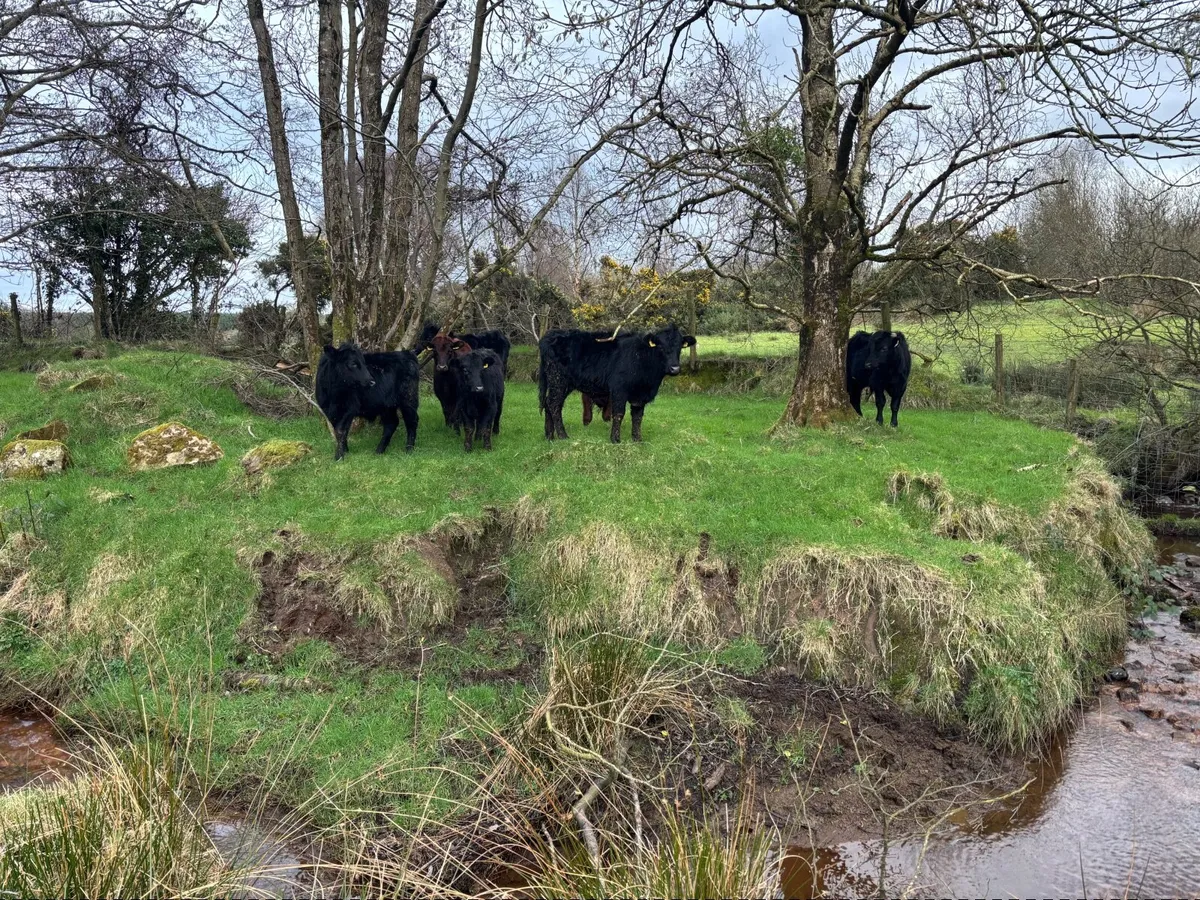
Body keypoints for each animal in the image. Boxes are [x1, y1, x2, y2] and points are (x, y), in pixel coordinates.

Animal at [538, 324, 695, 443]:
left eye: (680, 347)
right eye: (661, 347)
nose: (675, 368)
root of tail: (551, 334)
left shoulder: (640, 395)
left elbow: (637, 417)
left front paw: (637, 439)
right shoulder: (619, 389)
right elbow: (619, 413)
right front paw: (615, 440)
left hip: (560, 383)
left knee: (547, 403)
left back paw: (549, 436)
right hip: (559, 380)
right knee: (554, 404)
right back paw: (562, 435)